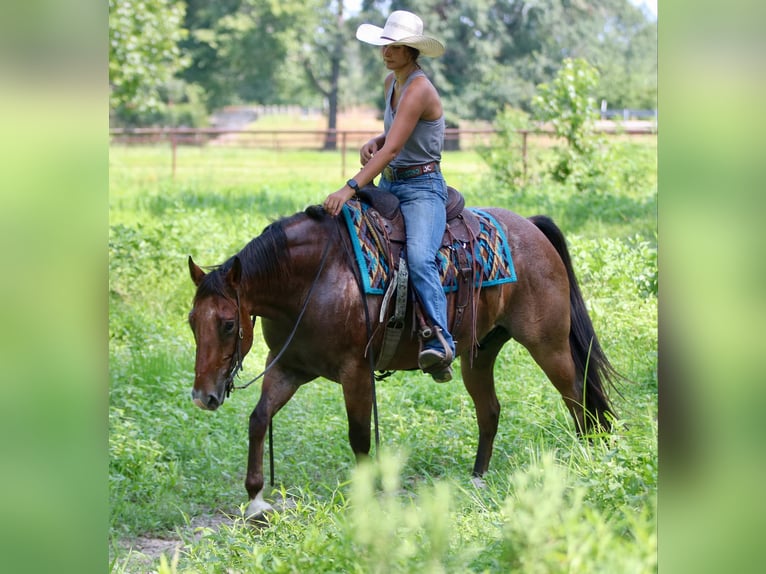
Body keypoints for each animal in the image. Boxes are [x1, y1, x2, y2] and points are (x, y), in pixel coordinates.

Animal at [189, 192, 620, 516]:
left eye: (227, 324)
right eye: (193, 321)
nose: (203, 396)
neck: (315, 278)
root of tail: (530, 226)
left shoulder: (356, 372)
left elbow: (360, 437)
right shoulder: (288, 368)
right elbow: (259, 419)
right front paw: (255, 498)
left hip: (548, 345)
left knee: (577, 398)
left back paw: (588, 461)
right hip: (478, 355)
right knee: (491, 410)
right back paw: (478, 479)